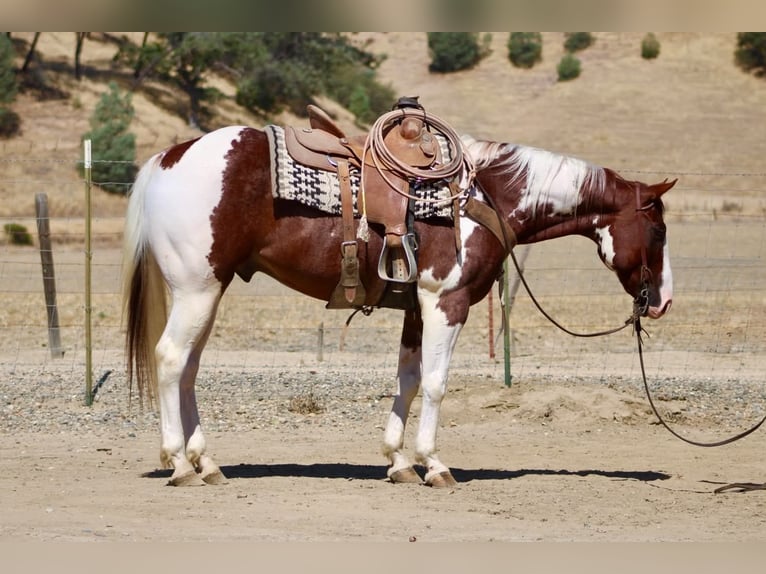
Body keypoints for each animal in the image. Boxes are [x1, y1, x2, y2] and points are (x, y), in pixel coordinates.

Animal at [122, 123, 675, 487]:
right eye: (659, 230)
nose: (663, 301)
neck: (486, 197)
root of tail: (168, 158)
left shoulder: (415, 307)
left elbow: (407, 380)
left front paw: (399, 461)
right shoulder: (446, 303)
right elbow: (435, 383)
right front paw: (435, 464)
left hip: (207, 292)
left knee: (189, 369)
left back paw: (207, 463)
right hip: (196, 289)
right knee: (170, 359)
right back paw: (179, 464)